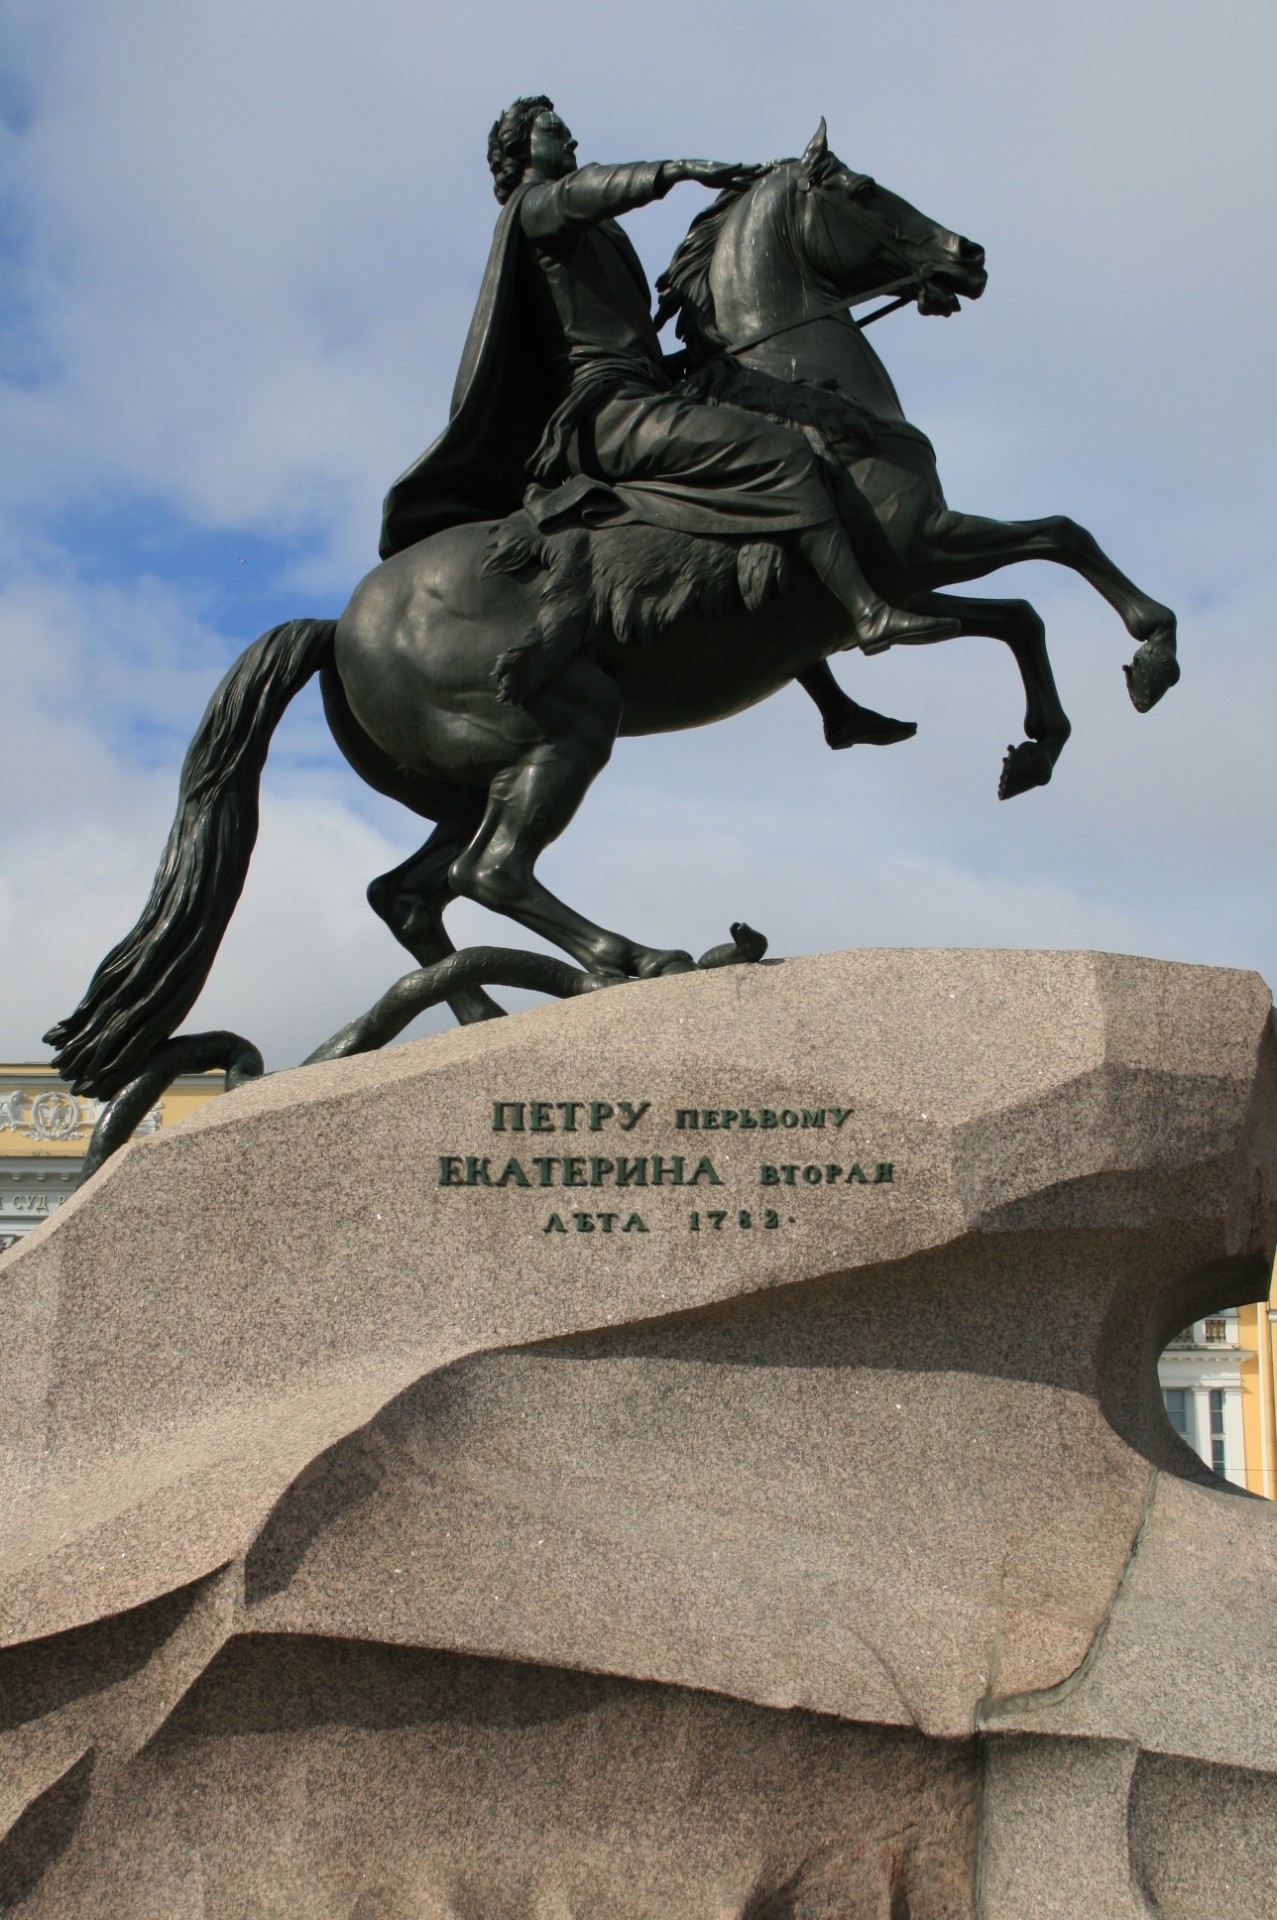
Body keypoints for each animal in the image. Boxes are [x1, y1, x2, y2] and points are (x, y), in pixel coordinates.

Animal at [47, 123, 1175, 1113]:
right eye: (860, 189)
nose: (965, 256)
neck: (806, 394)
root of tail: (335, 626)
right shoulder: (918, 549)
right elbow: (1039, 572)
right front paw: (1124, 675)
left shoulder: (909, 566)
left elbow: (1036, 583)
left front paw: (1051, 728)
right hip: (566, 728)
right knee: (492, 870)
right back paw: (634, 958)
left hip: (469, 776)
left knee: (409, 894)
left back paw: (487, 1016)